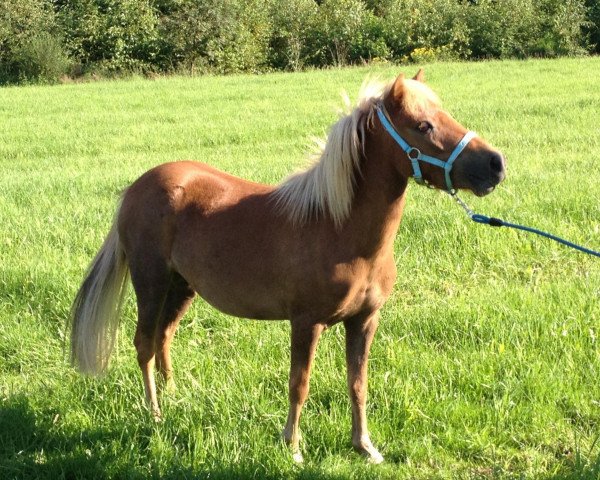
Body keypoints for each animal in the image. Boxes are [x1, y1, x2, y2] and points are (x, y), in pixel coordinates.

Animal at [69, 69, 506, 464]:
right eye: (423, 125)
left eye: (446, 114)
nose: (495, 164)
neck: (338, 228)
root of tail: (136, 187)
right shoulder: (306, 322)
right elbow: (300, 384)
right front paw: (293, 448)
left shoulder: (365, 320)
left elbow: (358, 383)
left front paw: (364, 447)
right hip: (151, 281)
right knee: (144, 344)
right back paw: (155, 414)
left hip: (182, 287)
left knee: (164, 338)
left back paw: (175, 397)